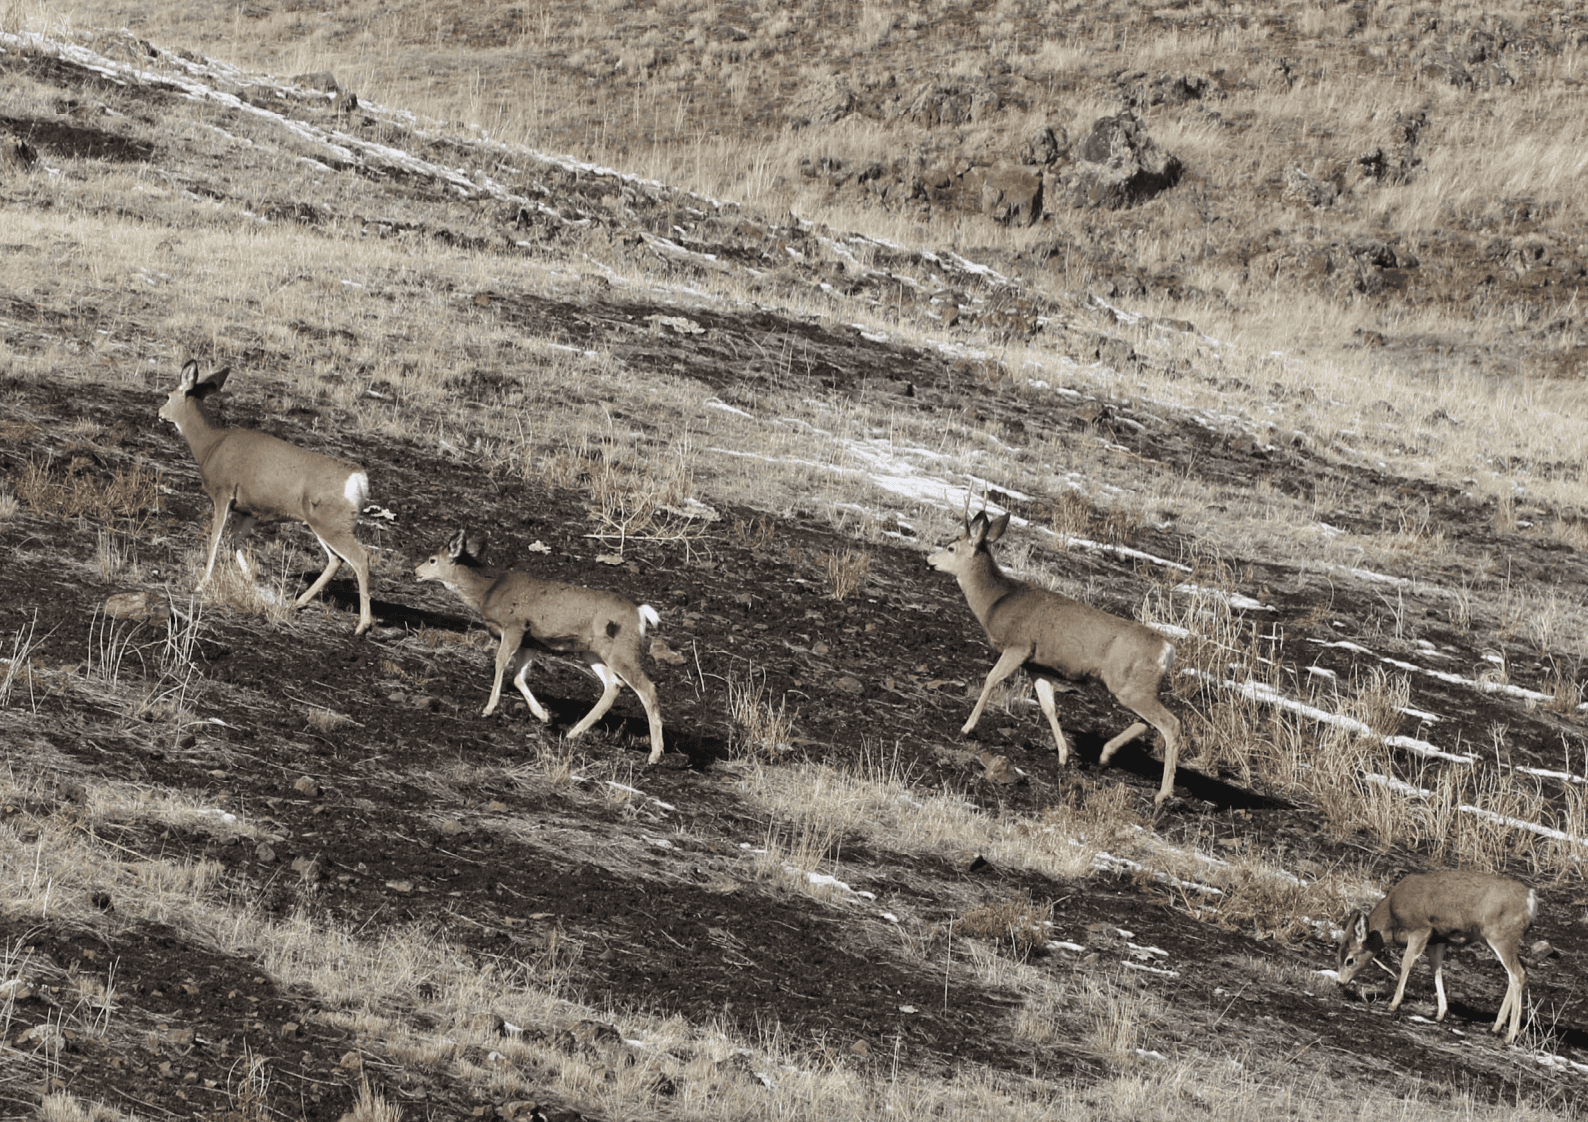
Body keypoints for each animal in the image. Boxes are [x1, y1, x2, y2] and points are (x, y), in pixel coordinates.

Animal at [158, 361, 374, 637]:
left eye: (167, 395)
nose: (159, 412)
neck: (210, 445)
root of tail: (359, 479)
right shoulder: (249, 510)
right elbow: (234, 540)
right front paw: (252, 583)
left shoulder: (223, 493)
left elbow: (215, 539)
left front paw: (201, 584)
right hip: (324, 524)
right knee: (336, 559)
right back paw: (297, 603)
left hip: (331, 524)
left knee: (360, 558)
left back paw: (362, 626)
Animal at [416, 530, 663, 764]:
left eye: (432, 559)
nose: (416, 571)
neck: (488, 592)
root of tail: (640, 613)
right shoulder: (530, 640)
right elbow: (518, 677)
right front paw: (544, 715)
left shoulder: (514, 625)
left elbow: (500, 662)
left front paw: (489, 708)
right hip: (592, 650)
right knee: (613, 685)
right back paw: (573, 732)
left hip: (622, 650)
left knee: (647, 688)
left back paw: (655, 754)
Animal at [927, 507, 1181, 806]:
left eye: (951, 547)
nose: (929, 560)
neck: (996, 602)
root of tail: (1168, 651)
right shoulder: (1037, 665)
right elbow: (1048, 706)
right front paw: (1063, 755)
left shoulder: (1020, 645)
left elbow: (991, 679)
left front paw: (967, 727)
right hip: (1135, 688)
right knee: (1146, 722)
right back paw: (1105, 755)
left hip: (1132, 687)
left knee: (1171, 724)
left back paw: (1163, 794)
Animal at [1333, 869, 1530, 1047]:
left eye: (1350, 960)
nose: (1339, 983)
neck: (1392, 917)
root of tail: (1531, 898)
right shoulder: (1437, 940)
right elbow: (1436, 968)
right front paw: (1441, 1013)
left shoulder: (1421, 929)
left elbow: (1407, 962)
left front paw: (1394, 1004)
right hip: (1489, 937)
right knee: (1517, 972)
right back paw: (1497, 1027)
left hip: (1500, 936)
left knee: (1518, 974)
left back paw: (1510, 1036)